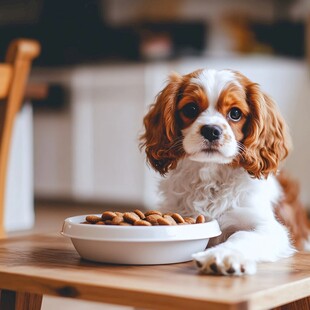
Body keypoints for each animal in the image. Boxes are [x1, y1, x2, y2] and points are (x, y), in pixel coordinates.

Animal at [141, 68, 310, 276]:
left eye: (235, 113)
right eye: (191, 109)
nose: (211, 130)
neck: (211, 175)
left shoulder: (271, 228)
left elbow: (243, 235)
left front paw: (221, 256)